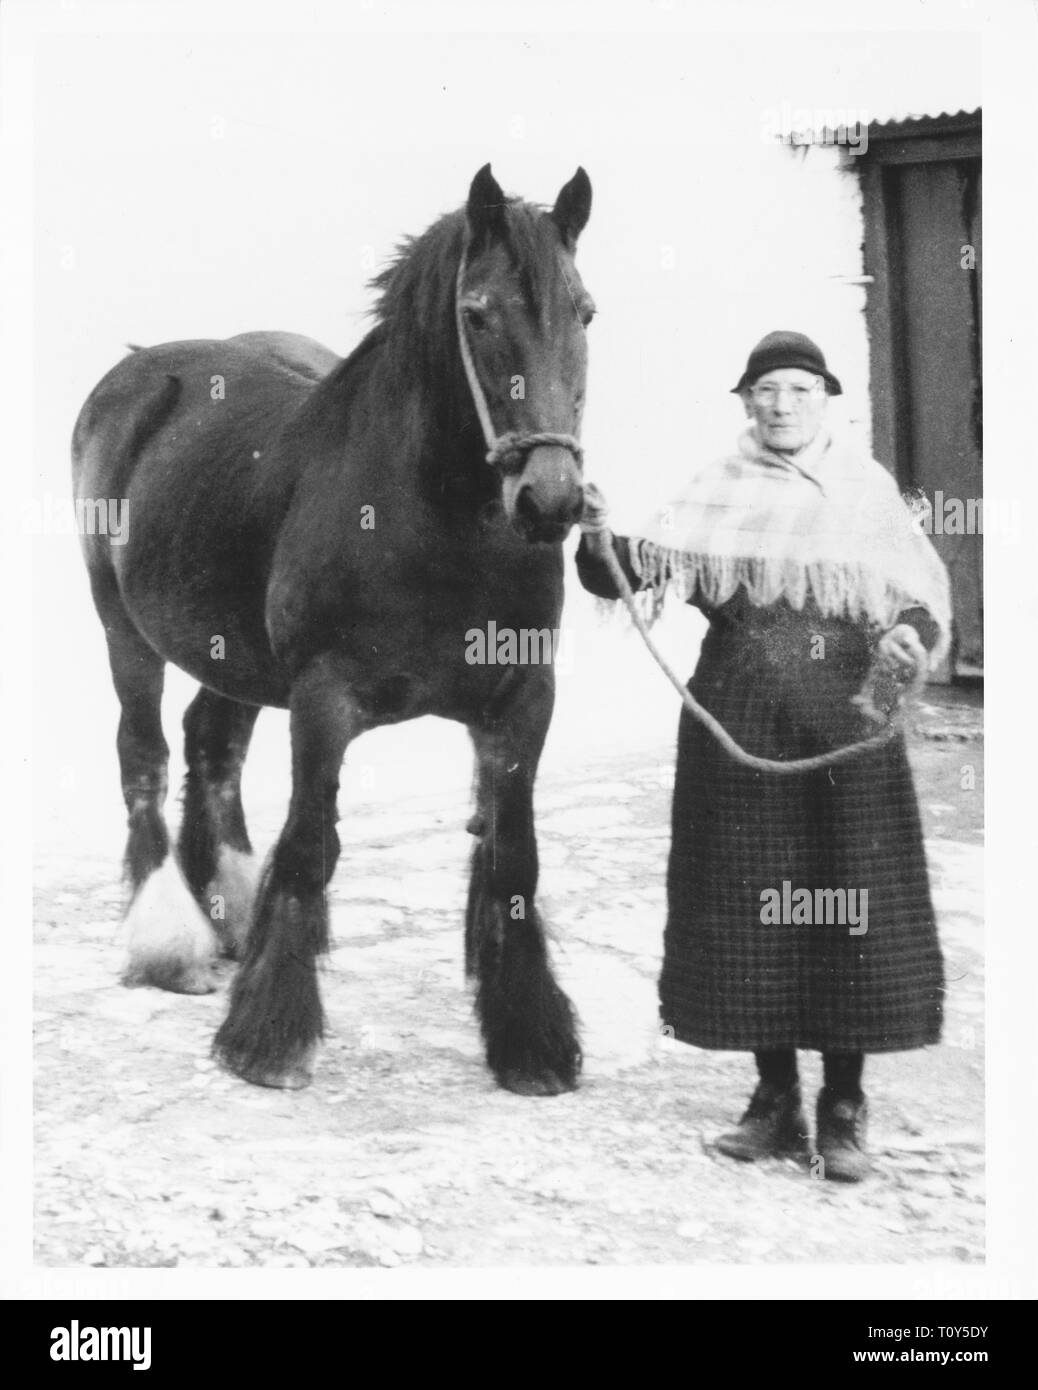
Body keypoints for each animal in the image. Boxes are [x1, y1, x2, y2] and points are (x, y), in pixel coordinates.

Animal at [71, 164, 595, 1096]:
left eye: (586, 312)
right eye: (477, 313)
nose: (551, 500)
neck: (440, 527)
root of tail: (136, 373)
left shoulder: (523, 701)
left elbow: (514, 861)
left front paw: (530, 1043)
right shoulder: (324, 700)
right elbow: (311, 845)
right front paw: (268, 1041)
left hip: (230, 656)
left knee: (212, 746)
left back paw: (226, 916)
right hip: (122, 630)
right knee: (144, 754)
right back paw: (169, 941)